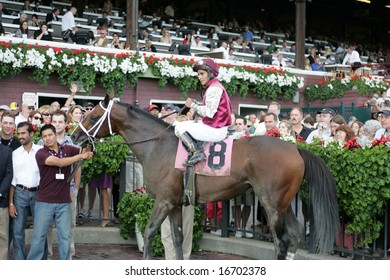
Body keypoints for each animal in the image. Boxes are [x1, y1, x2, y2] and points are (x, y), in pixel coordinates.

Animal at [71, 94, 340, 260]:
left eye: (92, 117)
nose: (74, 137)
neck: (157, 144)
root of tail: (295, 148)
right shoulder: (176, 204)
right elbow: (178, 239)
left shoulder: (163, 200)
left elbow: (149, 232)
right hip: (284, 202)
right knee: (294, 235)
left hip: (271, 203)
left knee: (281, 241)